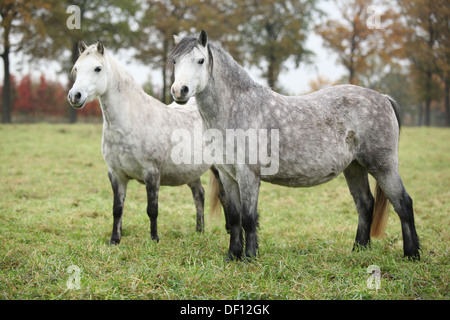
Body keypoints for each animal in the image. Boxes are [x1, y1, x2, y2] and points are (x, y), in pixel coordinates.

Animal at [67, 41, 222, 244]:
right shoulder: (116, 174)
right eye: (76, 68)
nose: (74, 96)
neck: (132, 121)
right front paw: (115, 240)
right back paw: (199, 231)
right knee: (199, 195)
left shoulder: (152, 173)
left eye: (97, 68)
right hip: (191, 172)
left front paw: (154, 239)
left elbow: (152, 209)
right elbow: (117, 209)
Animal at [167, 30, 420, 260]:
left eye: (200, 60)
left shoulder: (248, 174)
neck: (237, 109)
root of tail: (383, 98)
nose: (179, 90)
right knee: (365, 205)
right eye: (175, 61)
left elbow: (248, 217)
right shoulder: (228, 175)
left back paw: (412, 254)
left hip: (383, 167)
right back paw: (359, 250)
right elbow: (235, 216)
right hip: (354, 168)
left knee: (403, 204)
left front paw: (249, 256)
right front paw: (233, 255)